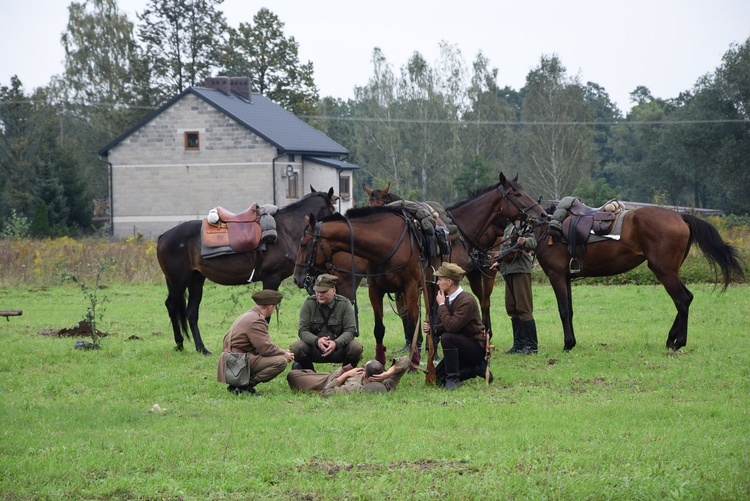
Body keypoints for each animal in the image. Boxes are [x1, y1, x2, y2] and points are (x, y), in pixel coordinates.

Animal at [157, 186, 340, 354]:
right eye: (333, 209)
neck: (286, 230)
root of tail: (163, 236)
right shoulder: (271, 278)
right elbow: (266, 315)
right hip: (178, 281)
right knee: (171, 306)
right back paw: (180, 343)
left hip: (196, 280)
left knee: (191, 312)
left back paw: (201, 348)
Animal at [296, 173, 548, 368]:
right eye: (517, 194)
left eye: (304, 244)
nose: (542, 214)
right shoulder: (376, 289)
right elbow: (381, 328)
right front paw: (383, 360)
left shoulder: (412, 287)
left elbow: (416, 322)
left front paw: (414, 360)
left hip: (476, 277)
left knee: (483, 305)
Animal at [532, 197, 748, 350]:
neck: (546, 228)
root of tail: (680, 217)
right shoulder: (566, 278)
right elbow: (569, 309)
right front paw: (572, 342)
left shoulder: (557, 276)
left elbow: (563, 310)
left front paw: (568, 344)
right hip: (671, 271)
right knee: (688, 297)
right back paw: (671, 339)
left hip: (664, 271)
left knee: (682, 300)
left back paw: (678, 342)